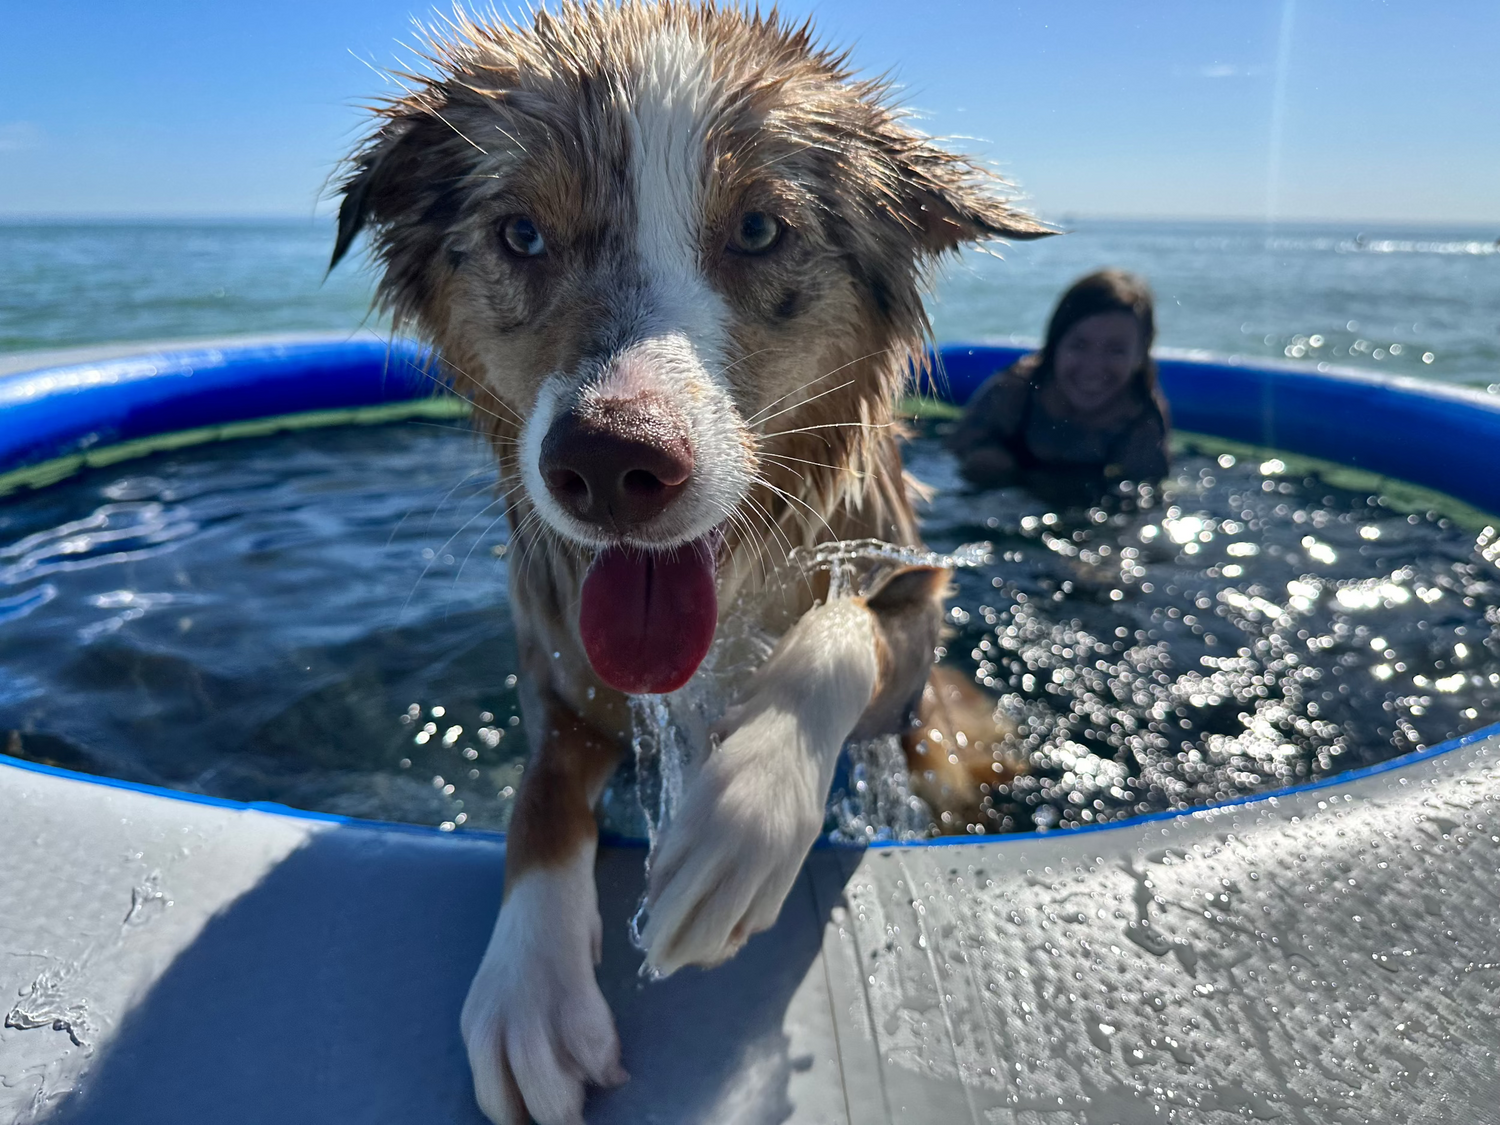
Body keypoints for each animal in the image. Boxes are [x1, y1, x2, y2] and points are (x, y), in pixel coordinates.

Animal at [336, 4, 1050, 1122]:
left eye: (759, 230)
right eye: (519, 234)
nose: (607, 464)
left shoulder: (908, 607)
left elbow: (842, 630)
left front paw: (739, 825)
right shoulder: (560, 672)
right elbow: (540, 794)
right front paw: (528, 982)